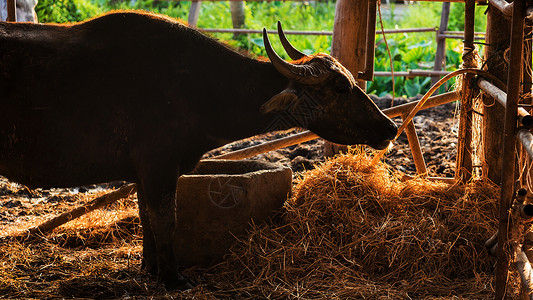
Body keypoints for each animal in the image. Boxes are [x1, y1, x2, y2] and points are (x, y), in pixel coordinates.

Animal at [0, 11, 396, 288]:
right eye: (340, 87)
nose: (390, 128)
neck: (198, 86)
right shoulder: (159, 165)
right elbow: (165, 218)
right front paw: (173, 278)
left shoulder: (145, 173)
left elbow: (146, 218)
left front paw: (151, 268)